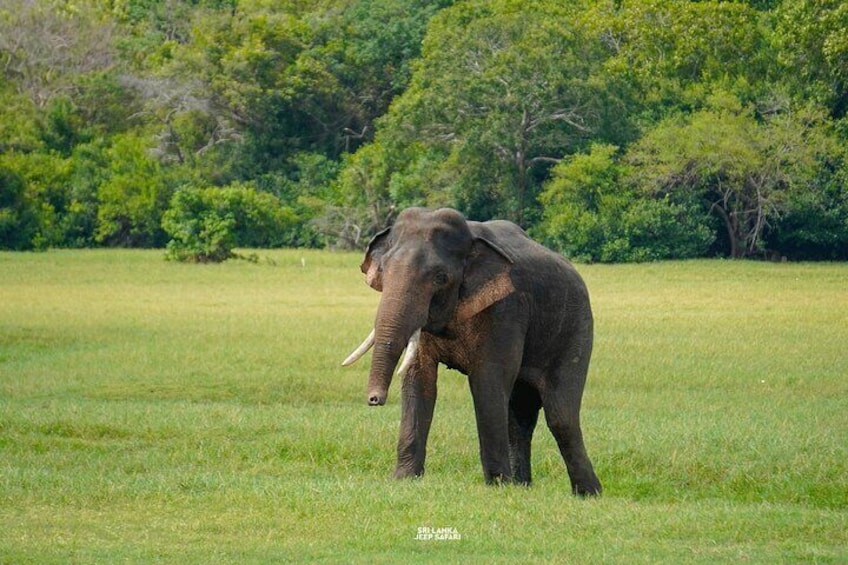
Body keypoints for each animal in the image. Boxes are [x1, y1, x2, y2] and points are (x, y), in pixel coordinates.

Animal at [342, 206, 600, 494]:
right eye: (384, 271)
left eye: (440, 278)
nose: (374, 400)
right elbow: (419, 381)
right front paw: (403, 479)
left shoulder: (504, 309)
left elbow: (487, 382)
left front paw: (497, 486)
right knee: (520, 413)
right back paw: (522, 487)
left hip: (576, 328)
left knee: (560, 415)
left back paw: (589, 494)